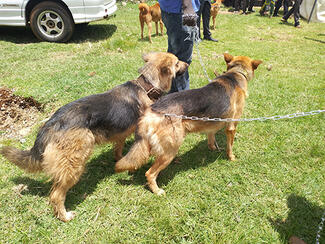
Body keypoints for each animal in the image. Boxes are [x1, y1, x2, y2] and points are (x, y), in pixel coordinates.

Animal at [0, 52, 187, 222]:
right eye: (177, 62)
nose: (187, 64)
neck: (146, 87)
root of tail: (51, 124)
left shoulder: (120, 133)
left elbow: (120, 150)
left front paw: (120, 161)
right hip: (75, 161)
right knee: (56, 195)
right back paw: (65, 216)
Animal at [115, 53, 262, 194]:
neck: (236, 73)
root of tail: (152, 111)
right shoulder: (232, 126)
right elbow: (230, 147)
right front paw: (231, 157)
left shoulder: (212, 123)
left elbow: (211, 136)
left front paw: (213, 148)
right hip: (170, 150)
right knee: (150, 173)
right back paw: (156, 190)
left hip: (150, 147)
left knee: (137, 159)